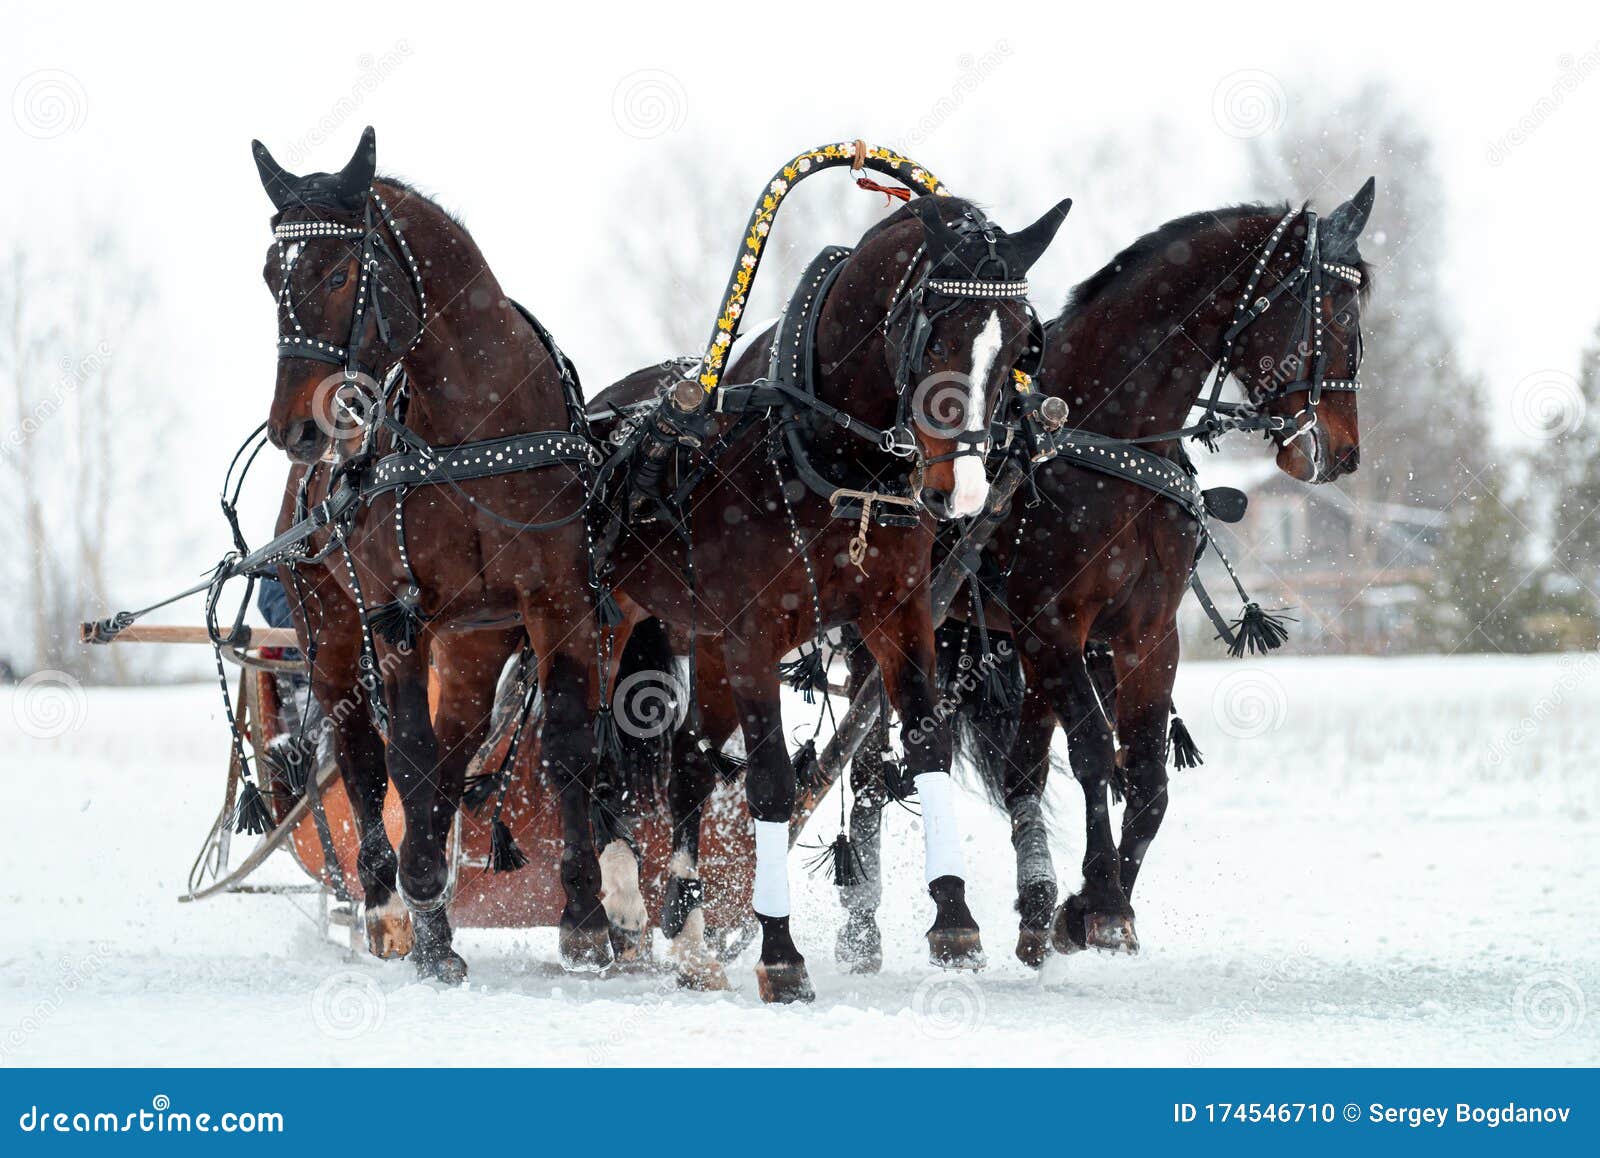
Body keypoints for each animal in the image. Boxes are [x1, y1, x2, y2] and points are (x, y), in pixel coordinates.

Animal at [249, 128, 630, 978]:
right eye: (270, 275)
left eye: (337, 271)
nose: (294, 427)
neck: (472, 426)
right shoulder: (399, 614)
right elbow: (407, 759)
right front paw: (427, 916)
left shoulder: (556, 601)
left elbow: (565, 747)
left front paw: (586, 916)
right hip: (330, 624)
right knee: (362, 753)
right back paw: (388, 904)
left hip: (475, 637)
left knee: (457, 756)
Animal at [595, 194, 1068, 998]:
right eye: (935, 336)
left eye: (1018, 352)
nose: (965, 493)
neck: (828, 447)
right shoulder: (752, 634)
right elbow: (772, 784)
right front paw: (780, 951)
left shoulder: (897, 615)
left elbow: (925, 743)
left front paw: (953, 917)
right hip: (603, 623)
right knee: (588, 749)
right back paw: (616, 904)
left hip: (704, 640)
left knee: (688, 762)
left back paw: (688, 936)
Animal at [838, 180, 1376, 966]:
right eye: (1330, 311)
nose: (1339, 452)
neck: (1111, 438)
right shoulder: (1055, 626)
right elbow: (1094, 753)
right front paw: (1102, 901)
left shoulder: (1147, 633)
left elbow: (1145, 772)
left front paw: (1081, 907)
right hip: (891, 632)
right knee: (869, 768)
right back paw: (862, 924)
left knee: (1020, 767)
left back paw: (1033, 904)